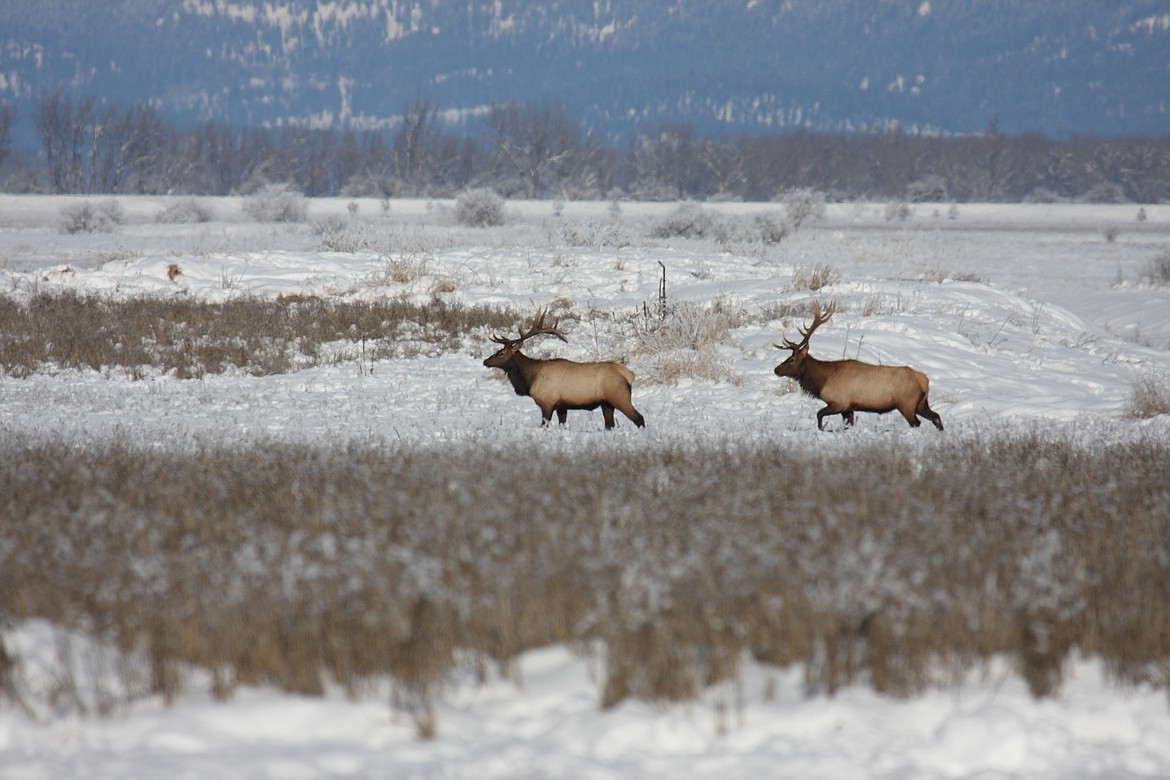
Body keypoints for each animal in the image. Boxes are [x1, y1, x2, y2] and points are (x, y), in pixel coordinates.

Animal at [484, 311, 650, 430]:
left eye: (501, 353)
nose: (485, 361)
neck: (530, 378)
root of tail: (628, 375)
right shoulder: (562, 406)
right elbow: (562, 424)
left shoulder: (547, 402)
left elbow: (543, 425)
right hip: (606, 403)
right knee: (609, 424)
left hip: (620, 397)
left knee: (639, 418)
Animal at [772, 301, 945, 432]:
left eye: (792, 359)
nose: (776, 369)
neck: (822, 382)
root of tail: (924, 380)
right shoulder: (848, 408)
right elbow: (847, 425)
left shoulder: (839, 402)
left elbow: (819, 414)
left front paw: (822, 429)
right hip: (921, 403)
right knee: (936, 416)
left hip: (906, 404)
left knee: (917, 423)